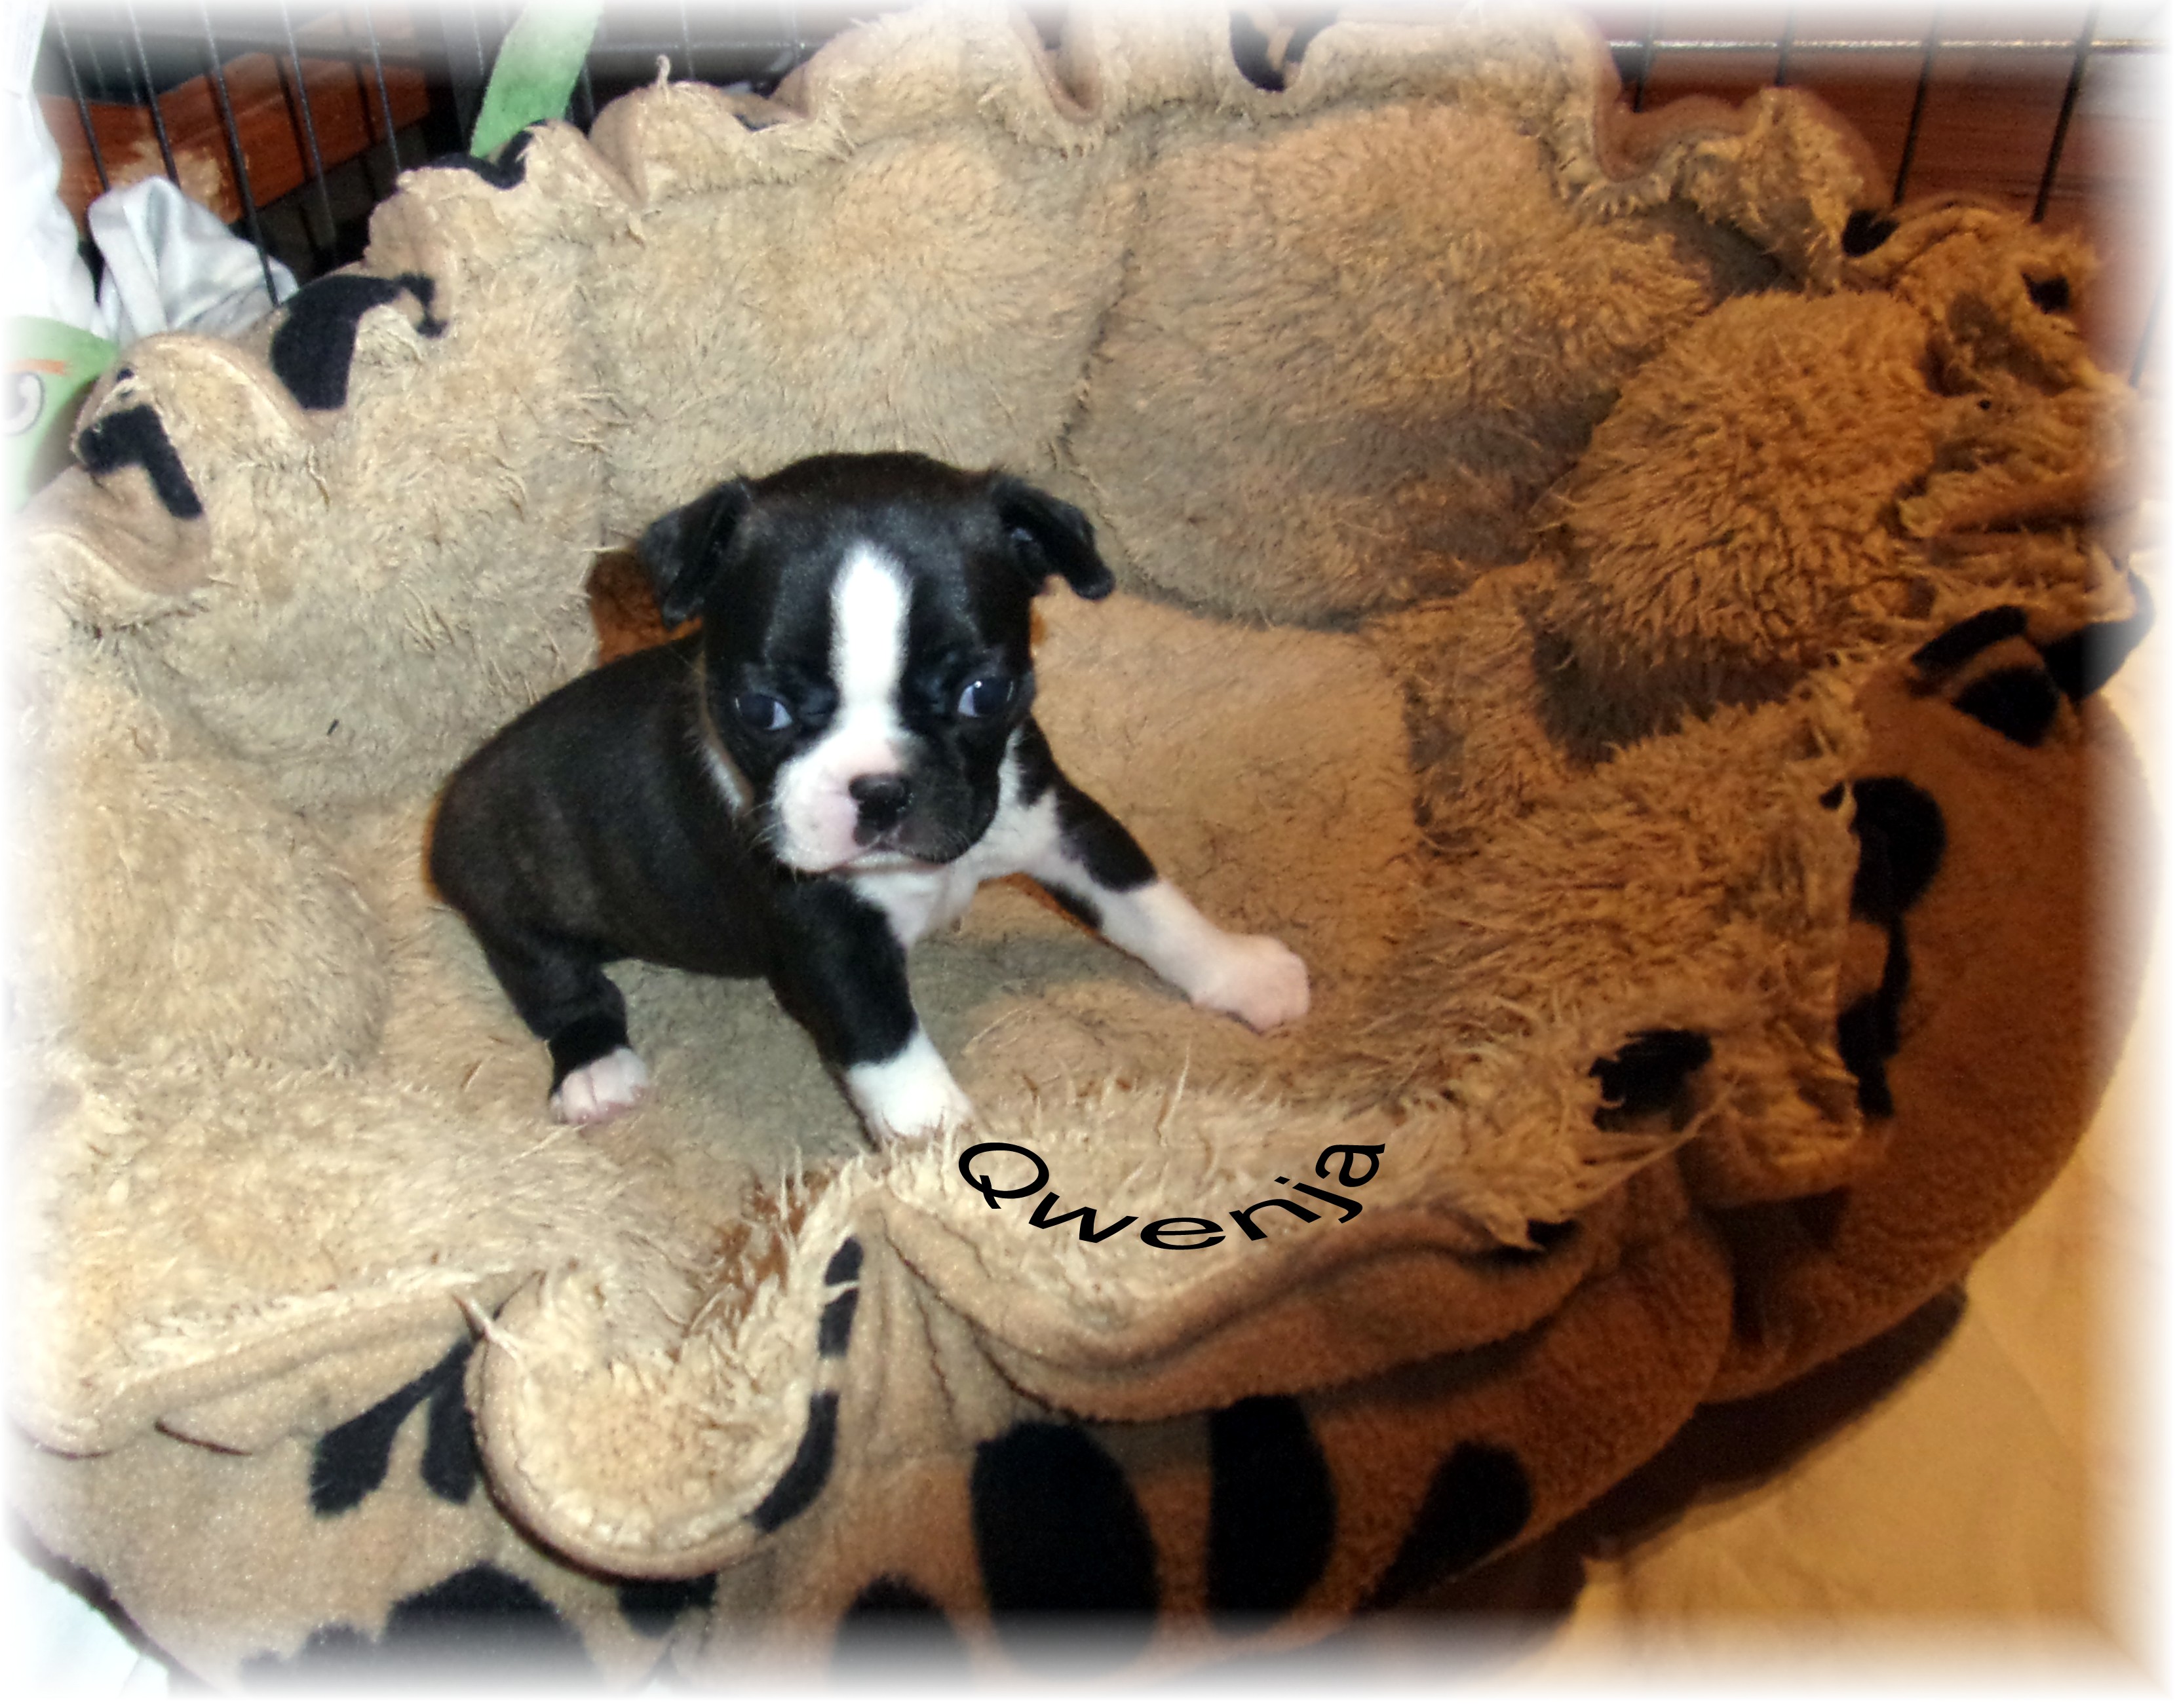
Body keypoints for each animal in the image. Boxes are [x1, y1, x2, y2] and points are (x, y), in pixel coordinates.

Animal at [428, 452, 1310, 1143]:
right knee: (563, 992)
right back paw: (597, 1070)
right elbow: (890, 1050)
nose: (881, 792)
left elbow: (1147, 901)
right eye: (762, 710)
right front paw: (943, 1160)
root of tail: (451, 798)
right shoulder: (826, 934)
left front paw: (1238, 971)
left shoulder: (1059, 819)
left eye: (985, 693)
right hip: (508, 905)